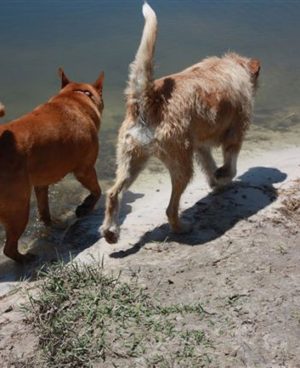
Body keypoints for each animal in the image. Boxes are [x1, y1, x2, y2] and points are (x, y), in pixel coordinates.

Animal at [0, 69, 104, 262]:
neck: (73, 97)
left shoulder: (41, 185)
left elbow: (44, 210)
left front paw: (52, 223)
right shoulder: (85, 170)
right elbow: (97, 191)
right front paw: (85, 207)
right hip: (19, 207)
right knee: (8, 248)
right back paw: (26, 259)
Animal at [101, 3, 260, 244]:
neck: (231, 65)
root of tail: (149, 97)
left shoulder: (200, 145)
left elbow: (209, 164)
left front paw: (216, 181)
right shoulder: (236, 133)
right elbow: (230, 164)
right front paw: (223, 176)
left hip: (132, 159)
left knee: (113, 193)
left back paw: (111, 232)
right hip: (181, 164)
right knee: (170, 208)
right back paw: (181, 227)